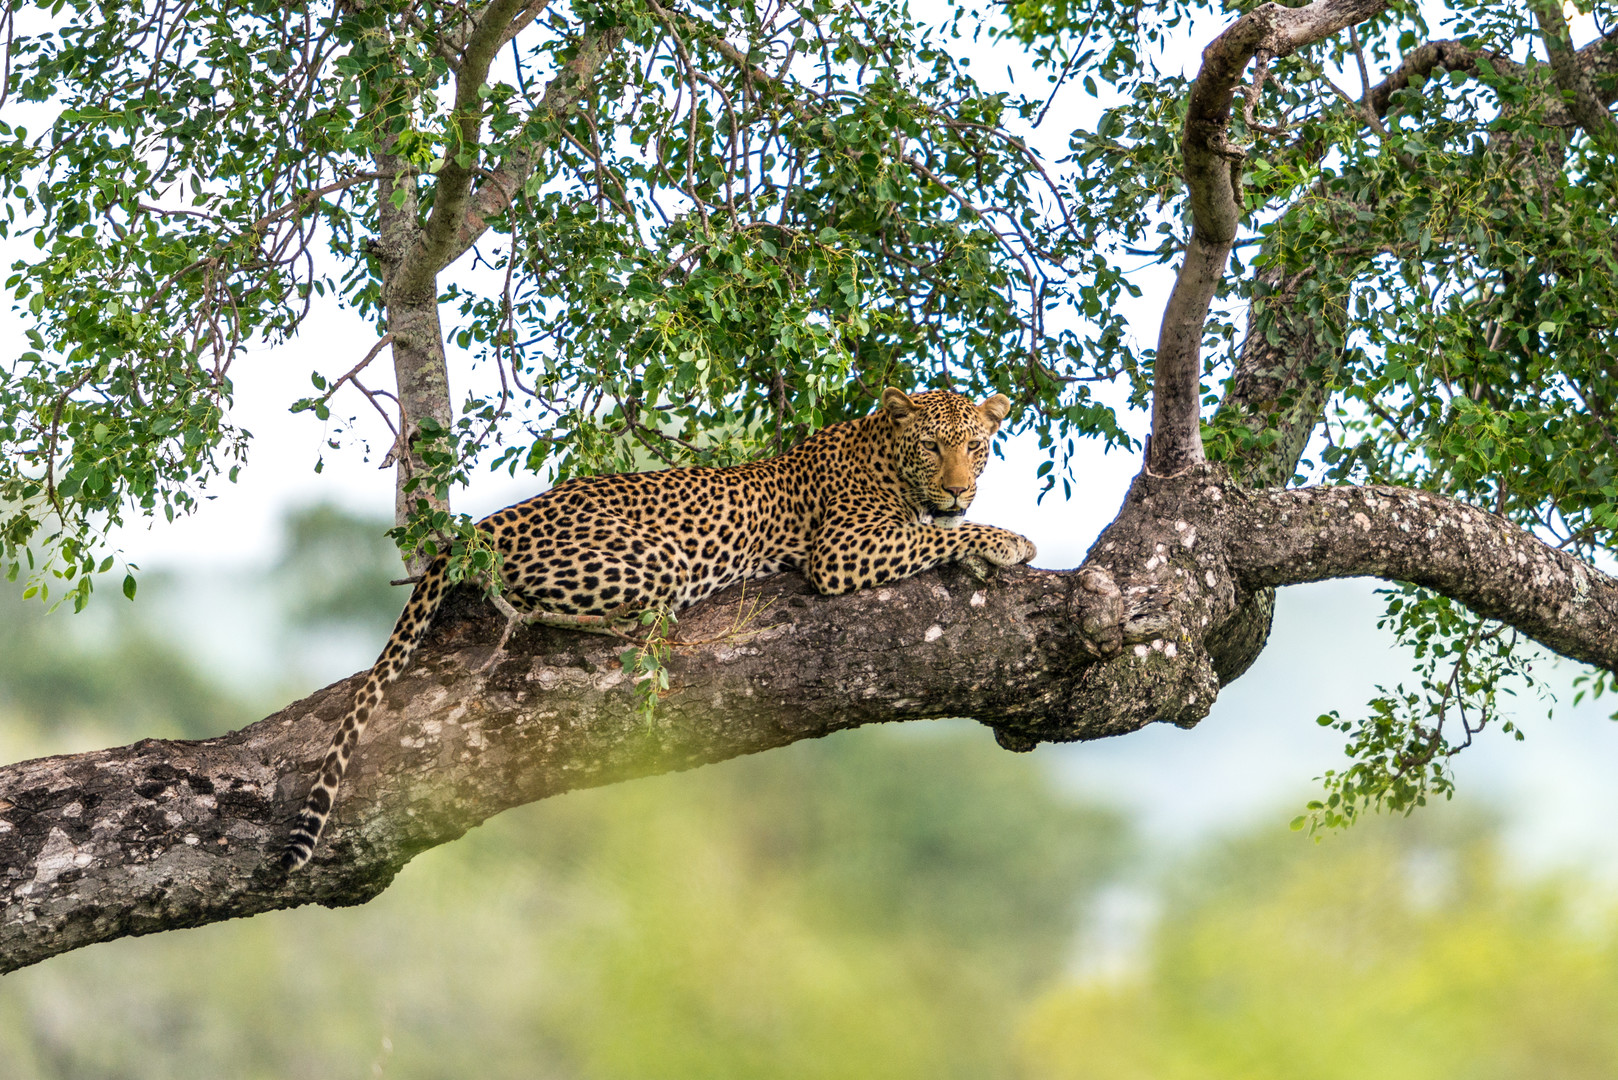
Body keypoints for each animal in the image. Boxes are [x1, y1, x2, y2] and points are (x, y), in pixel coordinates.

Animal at [278, 386, 1035, 867]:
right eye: (932, 448)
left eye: (976, 446)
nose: (959, 488)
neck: (883, 455)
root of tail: (495, 518)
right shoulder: (844, 549)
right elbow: (934, 536)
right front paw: (1008, 541)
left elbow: (938, 533)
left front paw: (982, 533)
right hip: (654, 559)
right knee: (537, 608)